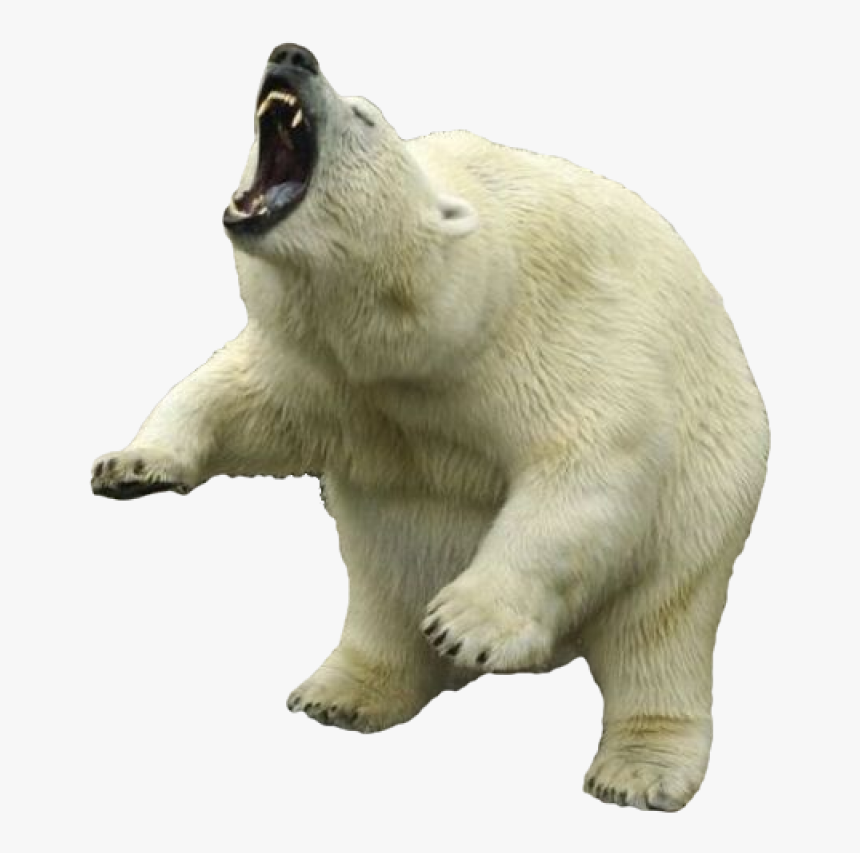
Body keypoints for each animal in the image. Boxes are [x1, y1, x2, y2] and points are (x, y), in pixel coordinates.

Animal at [91, 43, 770, 811]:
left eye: (363, 115)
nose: (292, 55)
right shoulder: (327, 370)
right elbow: (235, 394)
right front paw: (131, 465)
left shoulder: (544, 334)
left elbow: (591, 459)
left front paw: (465, 625)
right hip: (400, 550)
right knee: (385, 596)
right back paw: (341, 692)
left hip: (700, 508)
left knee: (658, 633)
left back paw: (637, 770)